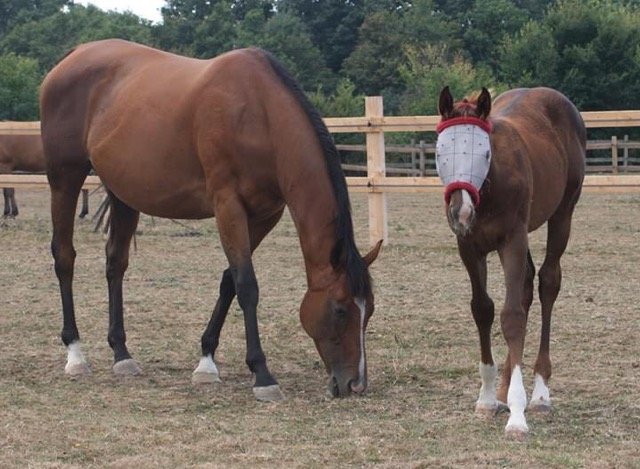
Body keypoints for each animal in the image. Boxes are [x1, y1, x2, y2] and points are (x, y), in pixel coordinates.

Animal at [40, 39, 382, 401]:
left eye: (370, 310)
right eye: (340, 309)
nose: (355, 384)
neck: (259, 115)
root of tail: (73, 57)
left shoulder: (264, 215)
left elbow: (229, 280)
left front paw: (206, 361)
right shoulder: (227, 206)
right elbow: (247, 285)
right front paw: (262, 374)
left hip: (123, 194)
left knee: (115, 262)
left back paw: (122, 354)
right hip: (65, 179)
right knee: (64, 257)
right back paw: (75, 354)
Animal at [435, 86, 585, 437]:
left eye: (485, 154)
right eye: (439, 151)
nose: (461, 211)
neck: (488, 192)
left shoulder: (512, 241)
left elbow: (512, 316)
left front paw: (518, 415)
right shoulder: (469, 247)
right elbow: (483, 310)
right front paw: (488, 398)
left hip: (563, 214)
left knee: (547, 283)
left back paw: (541, 393)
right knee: (527, 285)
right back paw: (504, 390)